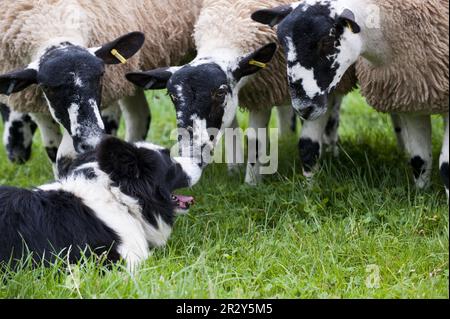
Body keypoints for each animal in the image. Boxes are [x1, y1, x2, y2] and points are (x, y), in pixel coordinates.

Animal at [125, 0, 356, 185]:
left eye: (219, 93)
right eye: (172, 97)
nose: (191, 154)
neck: (228, 25)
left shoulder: (265, 91)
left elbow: (255, 139)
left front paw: (251, 184)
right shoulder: (254, 93)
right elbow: (233, 129)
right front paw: (234, 171)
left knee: (332, 111)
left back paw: (331, 148)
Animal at [253, 0, 450, 198]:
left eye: (326, 41)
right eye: (283, 45)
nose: (303, 108)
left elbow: (446, 165)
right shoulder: (413, 98)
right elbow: (419, 160)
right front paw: (421, 196)